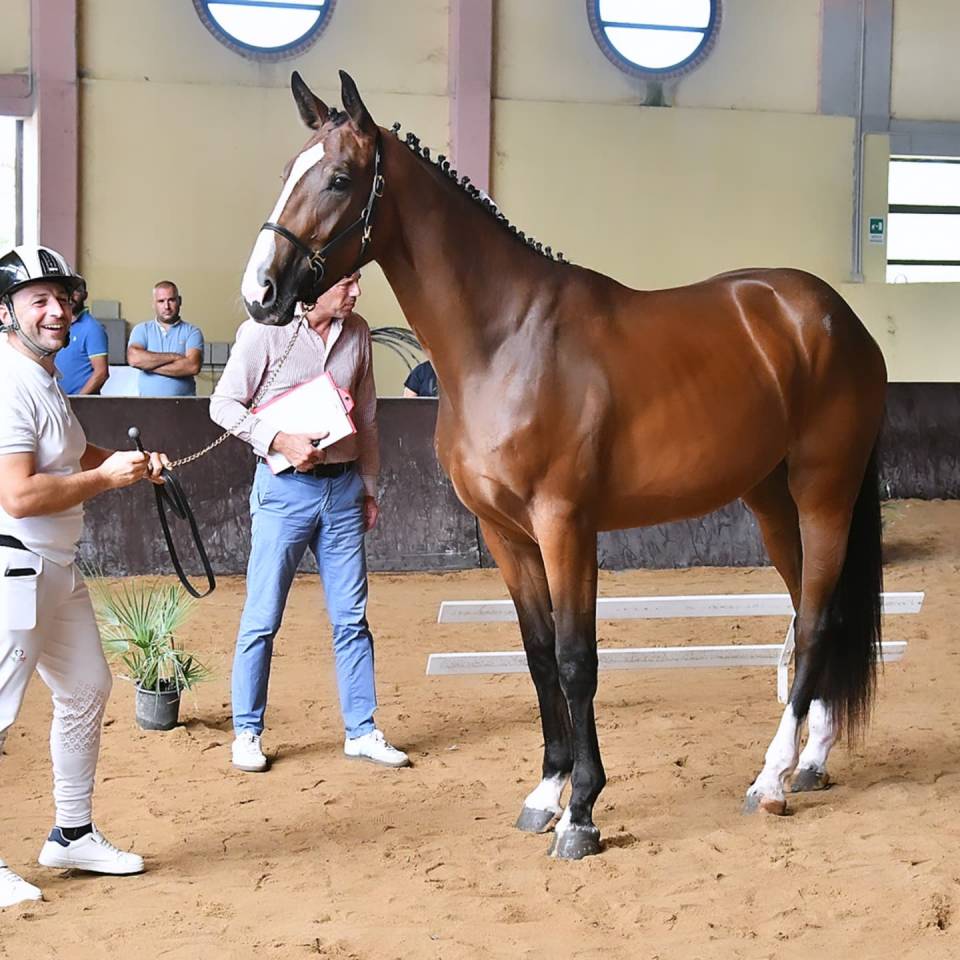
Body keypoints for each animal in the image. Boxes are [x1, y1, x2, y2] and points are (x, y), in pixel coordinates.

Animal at [240, 71, 887, 860]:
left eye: (338, 177)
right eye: (287, 172)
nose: (260, 294)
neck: (506, 340)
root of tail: (834, 317)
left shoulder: (565, 526)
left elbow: (579, 660)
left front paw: (582, 811)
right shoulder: (506, 536)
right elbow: (539, 654)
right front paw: (546, 791)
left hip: (825, 492)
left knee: (820, 616)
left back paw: (770, 779)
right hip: (771, 501)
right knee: (811, 612)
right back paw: (810, 761)